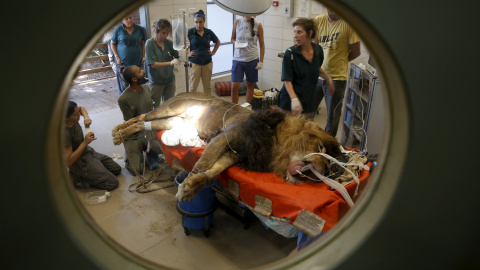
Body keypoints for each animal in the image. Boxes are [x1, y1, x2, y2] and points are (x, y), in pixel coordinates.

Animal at [111, 93, 342, 200]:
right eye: (320, 147)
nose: (327, 170)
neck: (276, 145)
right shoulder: (225, 135)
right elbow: (203, 164)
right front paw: (184, 187)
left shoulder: (235, 154)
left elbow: (213, 171)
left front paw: (192, 186)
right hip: (170, 109)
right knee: (142, 116)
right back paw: (117, 133)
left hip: (172, 122)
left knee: (142, 123)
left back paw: (121, 134)